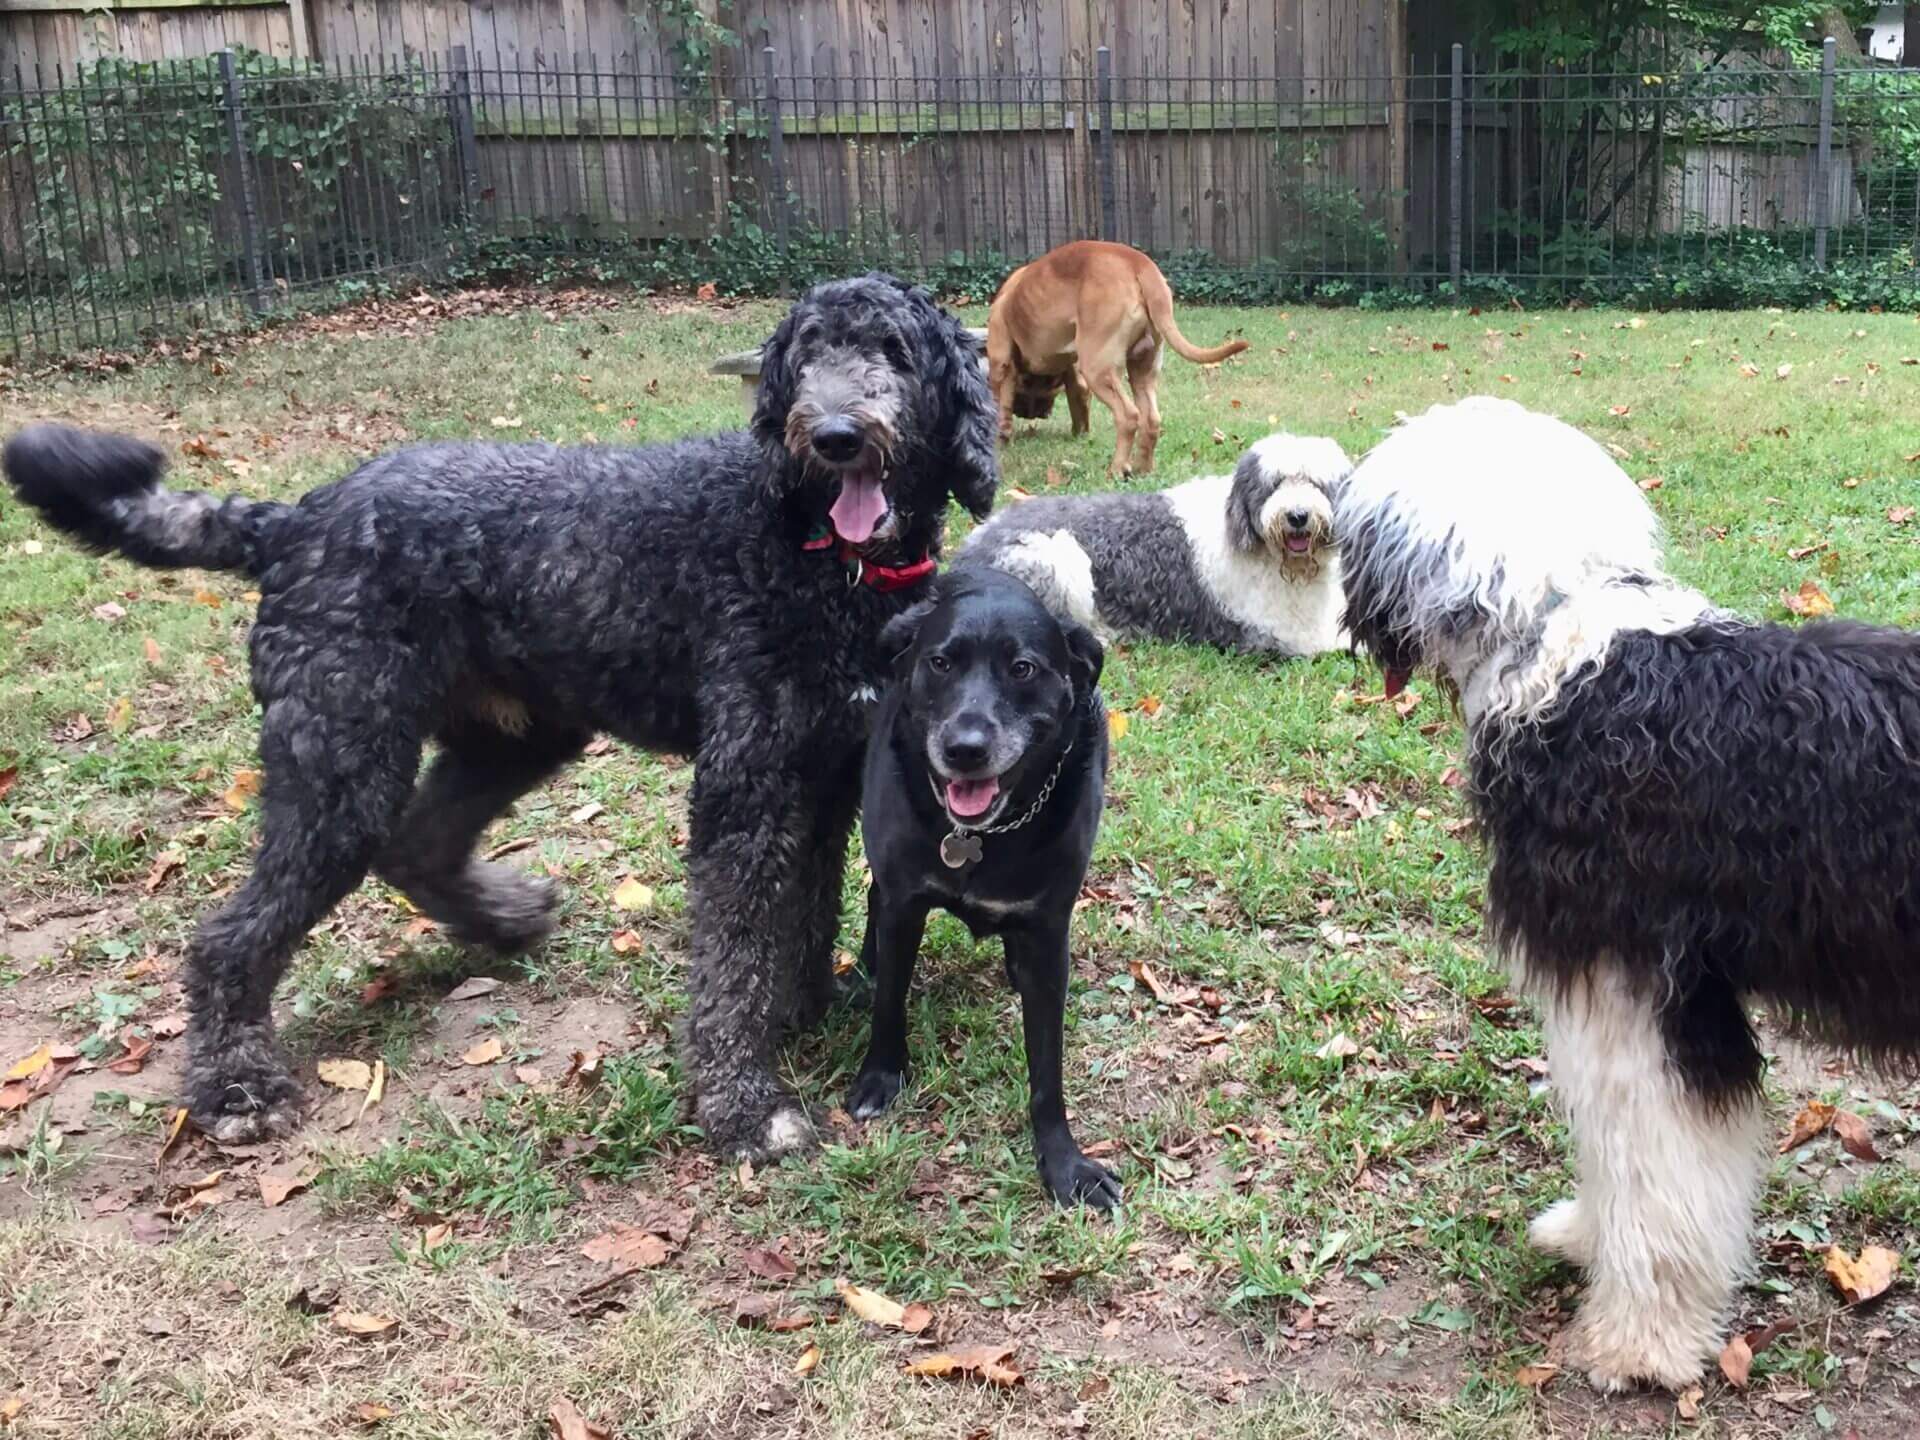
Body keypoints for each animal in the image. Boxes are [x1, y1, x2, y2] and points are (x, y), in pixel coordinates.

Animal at [0, 276, 990, 1167]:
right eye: (805, 355)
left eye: (895, 352)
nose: (833, 435)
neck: (816, 558)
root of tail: (292, 522)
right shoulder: (746, 787)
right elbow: (736, 946)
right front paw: (743, 1103)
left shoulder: (821, 779)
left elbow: (805, 914)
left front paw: (806, 1012)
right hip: (340, 764)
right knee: (229, 936)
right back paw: (234, 1089)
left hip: (511, 738)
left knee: (418, 844)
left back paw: (502, 921)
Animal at [848, 568, 1121, 1213]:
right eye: (940, 663)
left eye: (1023, 668)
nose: (964, 750)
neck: (982, 836)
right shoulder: (904, 902)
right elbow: (890, 999)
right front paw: (879, 1076)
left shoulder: (1049, 933)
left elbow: (1047, 1067)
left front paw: (1063, 1162)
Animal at [983, 240, 1251, 480]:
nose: (1038, 414)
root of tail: (1139, 264)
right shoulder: (1076, 376)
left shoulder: (1001, 362)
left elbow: (1001, 405)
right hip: (1143, 368)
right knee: (1151, 419)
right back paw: (1143, 469)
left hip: (1099, 369)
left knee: (1129, 416)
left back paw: (1117, 469)